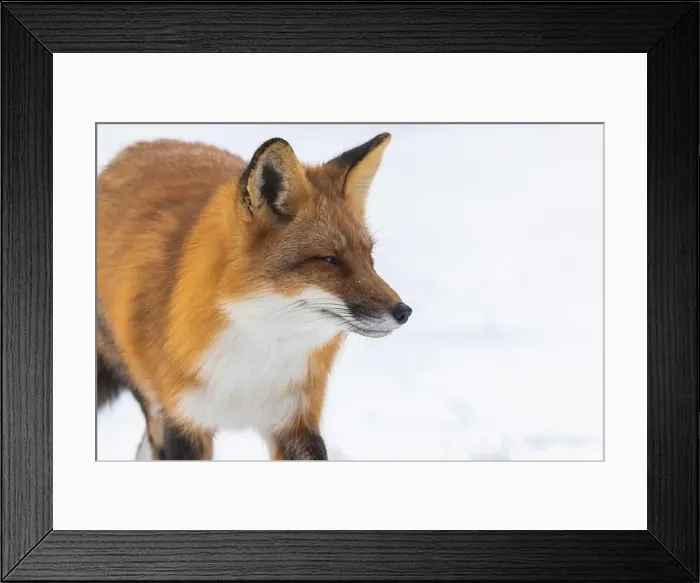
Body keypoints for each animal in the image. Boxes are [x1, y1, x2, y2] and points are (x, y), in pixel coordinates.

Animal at [96, 132, 412, 461]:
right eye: (328, 260)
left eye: (369, 257)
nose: (404, 312)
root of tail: (148, 143)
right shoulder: (184, 421)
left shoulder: (295, 420)